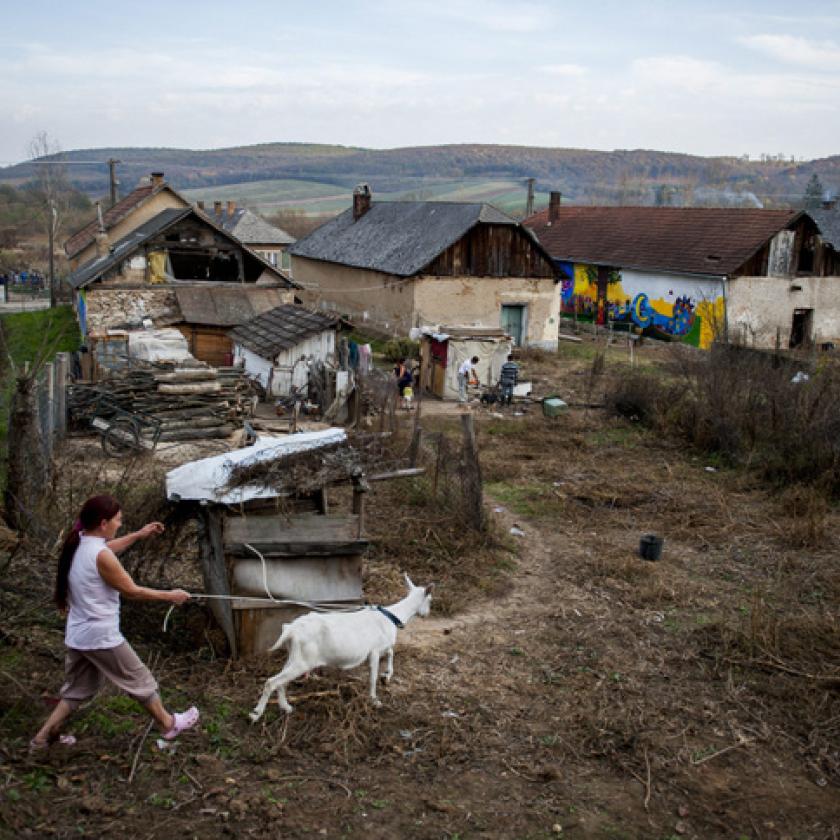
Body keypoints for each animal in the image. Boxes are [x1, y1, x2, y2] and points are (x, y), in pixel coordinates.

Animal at [248, 576, 434, 720]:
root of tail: (291, 629)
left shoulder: (380, 647)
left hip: (294, 656)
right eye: (430, 600)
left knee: (281, 682)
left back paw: (286, 708)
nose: (427, 614)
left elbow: (390, 651)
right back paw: (256, 714)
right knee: (271, 682)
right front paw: (375, 700)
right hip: (302, 661)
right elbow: (373, 676)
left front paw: (386, 675)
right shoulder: (374, 651)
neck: (391, 616)